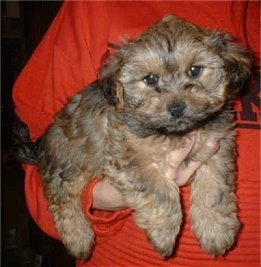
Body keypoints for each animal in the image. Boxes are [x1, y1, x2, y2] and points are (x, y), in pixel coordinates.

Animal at [17, 15, 251, 260]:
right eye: (150, 79)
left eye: (195, 70)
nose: (176, 107)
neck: (174, 133)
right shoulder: (129, 154)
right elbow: (159, 191)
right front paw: (164, 233)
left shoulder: (217, 147)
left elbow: (214, 188)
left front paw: (215, 229)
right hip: (70, 160)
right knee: (62, 195)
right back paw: (78, 238)